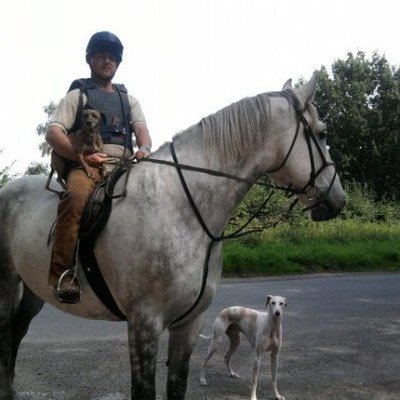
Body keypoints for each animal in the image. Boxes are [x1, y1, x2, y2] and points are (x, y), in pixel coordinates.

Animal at [0, 72, 344, 400]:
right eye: (322, 132)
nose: (338, 199)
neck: (182, 205)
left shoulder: (188, 325)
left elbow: (177, 385)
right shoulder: (145, 324)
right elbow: (144, 391)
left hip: (34, 291)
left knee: (15, 334)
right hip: (7, 285)